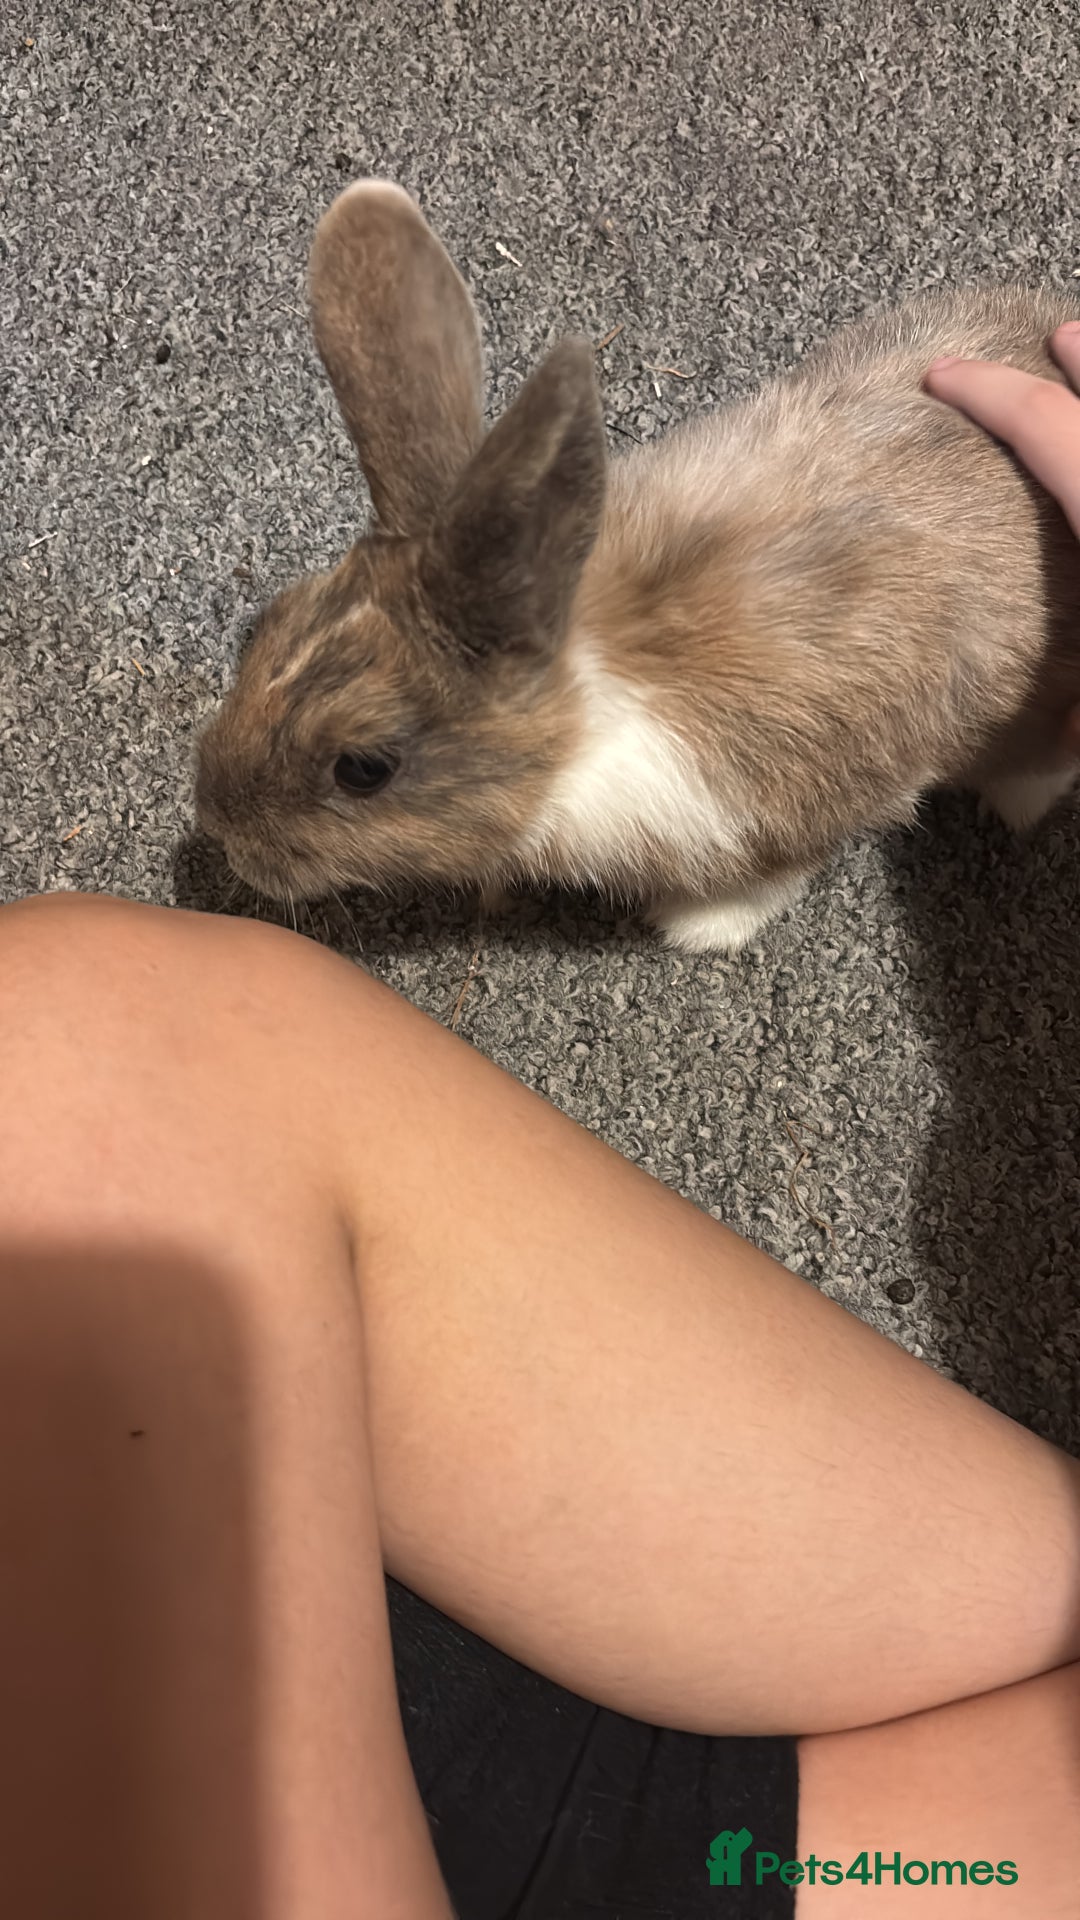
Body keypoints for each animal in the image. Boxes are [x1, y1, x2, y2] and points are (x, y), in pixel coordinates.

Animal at [194, 179, 1080, 952]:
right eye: (268, 621)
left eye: (364, 769)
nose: (218, 828)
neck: (590, 705)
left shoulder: (828, 787)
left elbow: (782, 870)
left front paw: (697, 930)